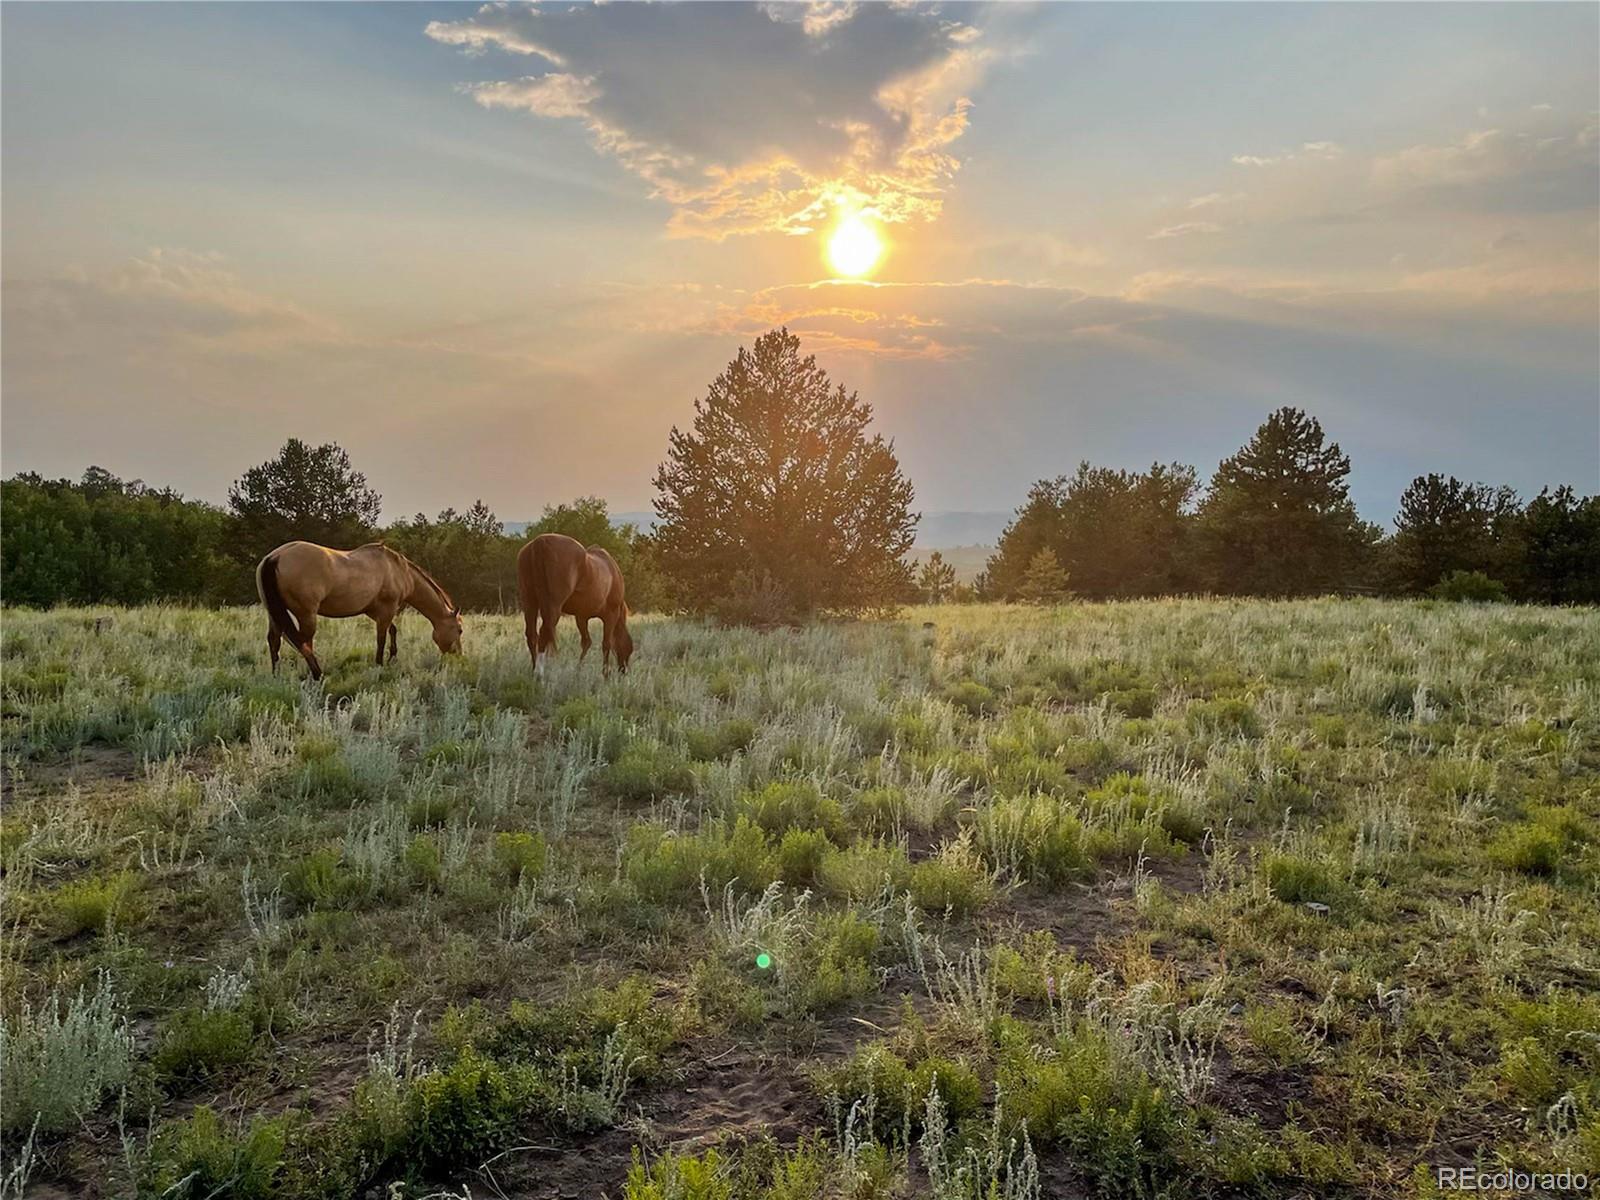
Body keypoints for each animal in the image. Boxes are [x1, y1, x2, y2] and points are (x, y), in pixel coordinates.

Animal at [251, 544, 464, 681]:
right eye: (460, 630)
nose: (458, 656)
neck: (398, 570)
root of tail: (275, 557)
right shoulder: (386, 609)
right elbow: (381, 638)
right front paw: (380, 665)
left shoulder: (373, 610)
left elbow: (392, 630)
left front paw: (392, 657)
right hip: (306, 615)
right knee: (304, 642)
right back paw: (317, 674)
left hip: (274, 614)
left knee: (275, 641)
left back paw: (276, 675)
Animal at [518, 534, 630, 678]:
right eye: (629, 649)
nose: (624, 671)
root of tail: (540, 541)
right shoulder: (611, 615)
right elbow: (606, 644)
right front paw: (605, 674)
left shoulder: (581, 617)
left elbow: (586, 642)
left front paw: (578, 669)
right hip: (553, 608)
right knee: (543, 634)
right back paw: (539, 673)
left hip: (530, 603)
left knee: (532, 635)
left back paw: (533, 669)